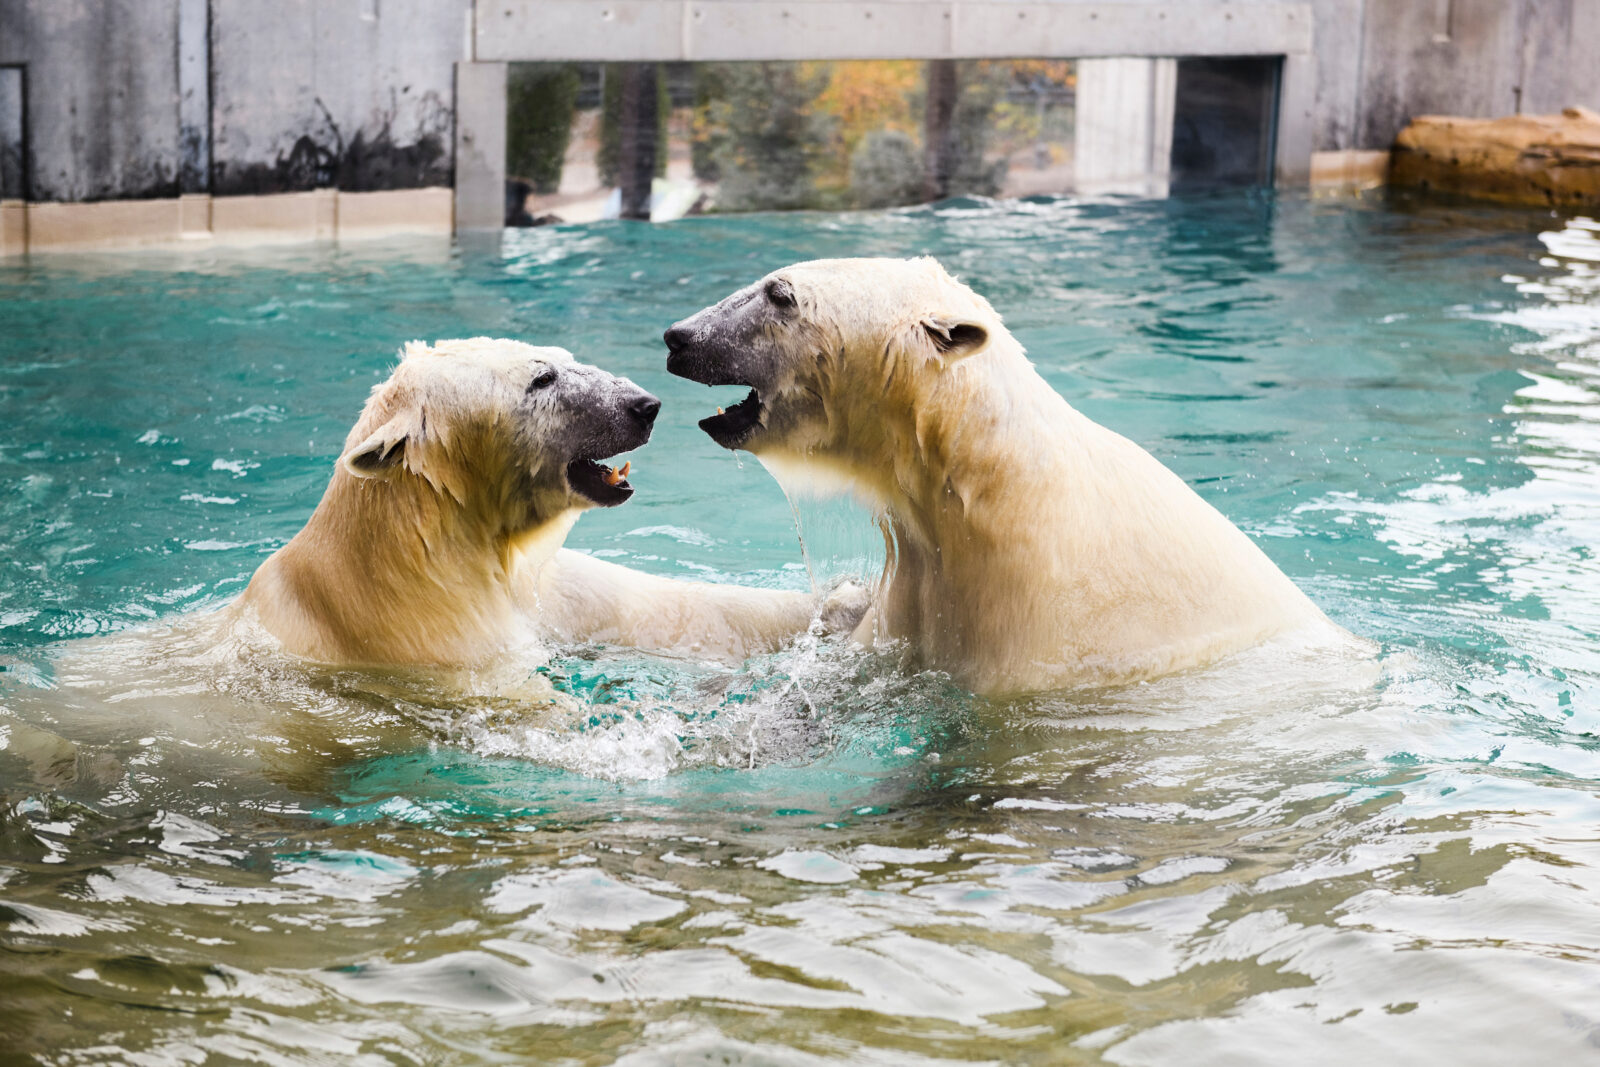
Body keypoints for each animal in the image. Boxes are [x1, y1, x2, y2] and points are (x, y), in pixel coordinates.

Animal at [235, 338, 858, 668]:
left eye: (563, 356)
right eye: (542, 379)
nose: (644, 405)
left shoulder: (538, 588)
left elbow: (669, 610)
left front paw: (843, 601)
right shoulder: (427, 632)